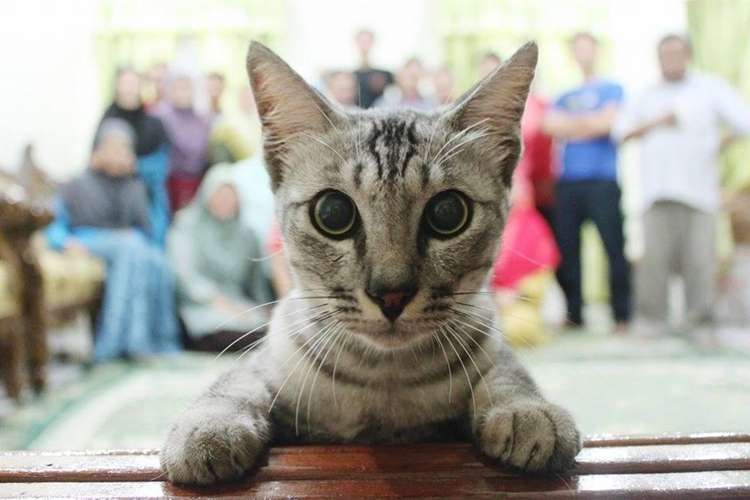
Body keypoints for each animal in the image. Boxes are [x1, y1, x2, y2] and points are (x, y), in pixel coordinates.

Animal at [162, 41, 584, 486]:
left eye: (448, 213)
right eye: (332, 213)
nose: (391, 294)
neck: (384, 382)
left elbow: (507, 371)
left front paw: (528, 411)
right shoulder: (270, 362)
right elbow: (237, 382)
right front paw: (208, 425)